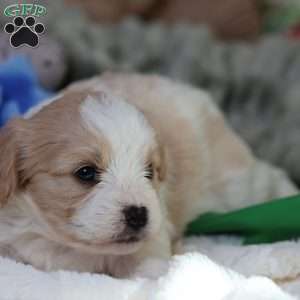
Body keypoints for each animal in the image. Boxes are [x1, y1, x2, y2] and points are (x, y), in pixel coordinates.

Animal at [0, 72, 296, 276]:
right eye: (85, 172)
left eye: (149, 171)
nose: (138, 214)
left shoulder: (151, 244)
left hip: (236, 183)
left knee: (270, 177)